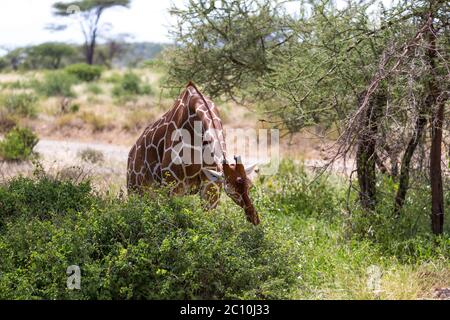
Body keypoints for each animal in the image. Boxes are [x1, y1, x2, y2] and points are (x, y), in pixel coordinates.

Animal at [127, 82, 260, 225]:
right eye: (231, 192)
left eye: (250, 186)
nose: (254, 218)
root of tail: (131, 154)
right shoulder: (174, 184)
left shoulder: (211, 185)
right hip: (137, 189)